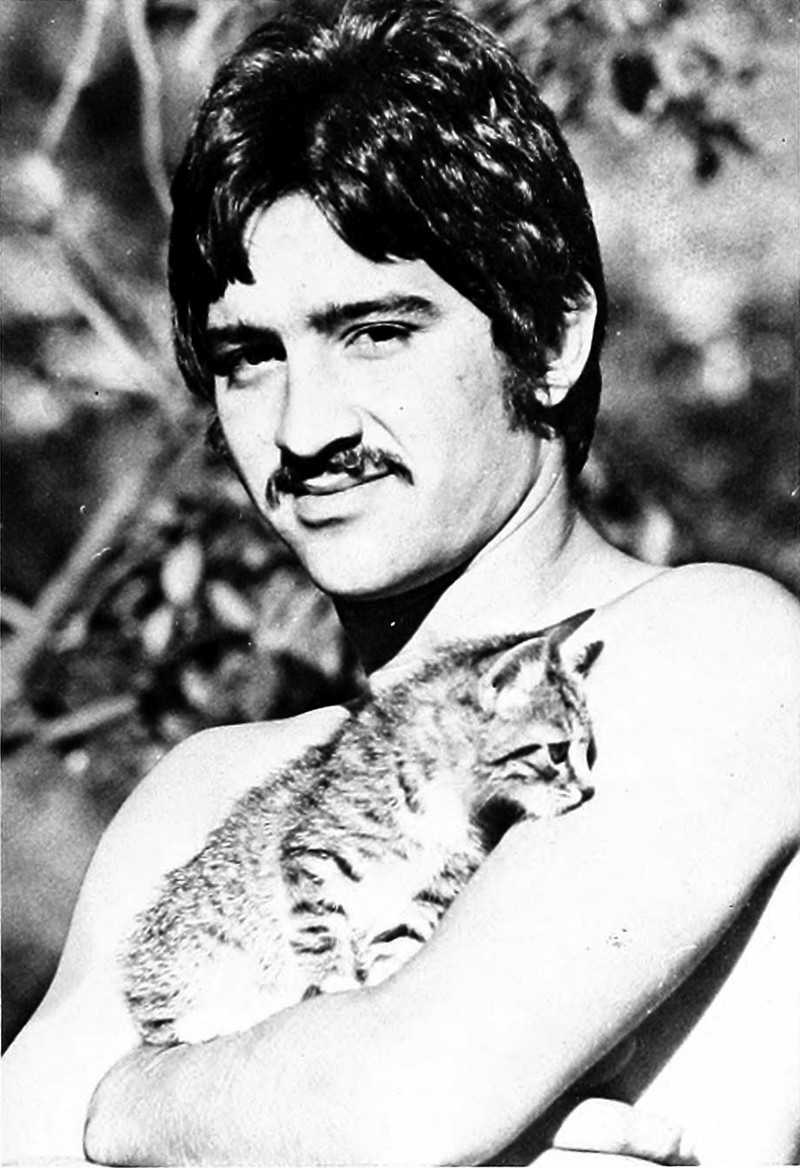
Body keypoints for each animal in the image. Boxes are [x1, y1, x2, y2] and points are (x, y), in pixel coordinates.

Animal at [122, 609, 603, 1046]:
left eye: (589, 750)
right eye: (558, 752)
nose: (588, 790)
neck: (451, 797)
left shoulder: (435, 883)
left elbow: (401, 932)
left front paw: (378, 970)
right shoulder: (311, 855)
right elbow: (320, 929)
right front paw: (337, 981)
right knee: (161, 1024)